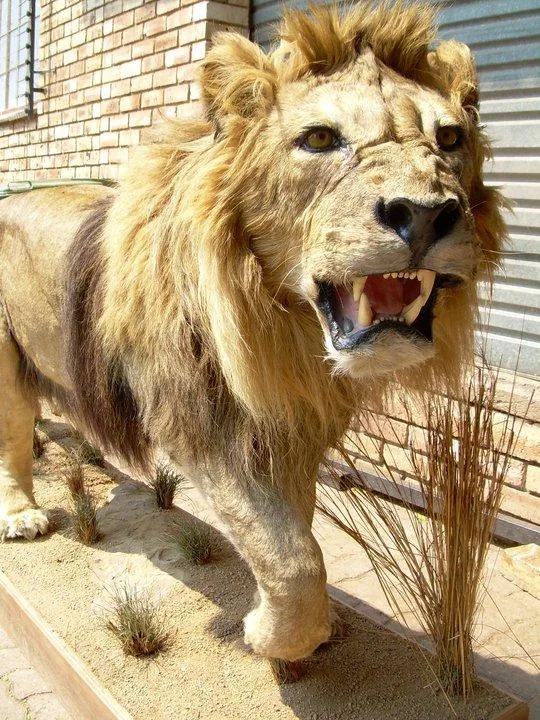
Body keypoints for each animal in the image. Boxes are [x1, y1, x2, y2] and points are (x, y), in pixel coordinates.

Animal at [0, 3, 505, 661]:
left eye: (449, 138)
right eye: (321, 139)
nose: (423, 214)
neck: (286, 326)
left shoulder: (296, 424)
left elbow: (295, 532)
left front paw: (307, 630)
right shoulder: (200, 423)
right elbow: (293, 560)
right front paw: (269, 635)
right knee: (13, 438)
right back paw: (22, 516)